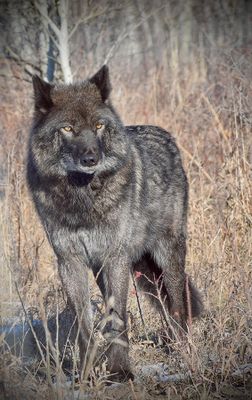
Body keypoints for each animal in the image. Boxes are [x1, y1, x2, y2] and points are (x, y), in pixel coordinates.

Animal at [26, 65, 203, 382]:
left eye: (98, 126)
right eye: (67, 128)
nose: (91, 158)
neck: (82, 198)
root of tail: (165, 135)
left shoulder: (116, 258)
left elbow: (118, 318)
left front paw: (121, 371)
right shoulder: (69, 262)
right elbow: (83, 324)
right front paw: (86, 373)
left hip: (167, 256)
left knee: (178, 305)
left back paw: (185, 353)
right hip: (110, 269)